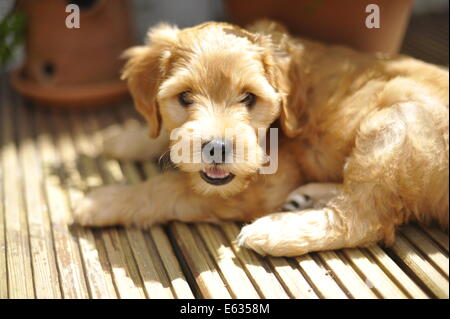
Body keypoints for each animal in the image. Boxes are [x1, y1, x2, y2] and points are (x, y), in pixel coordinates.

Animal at [74, 20, 446, 258]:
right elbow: (163, 136)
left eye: (249, 98)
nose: (217, 148)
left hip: (395, 119)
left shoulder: (267, 182)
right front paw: (121, 138)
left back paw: (277, 231)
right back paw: (309, 196)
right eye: (184, 97)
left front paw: (103, 201)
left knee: (363, 219)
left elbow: (167, 188)